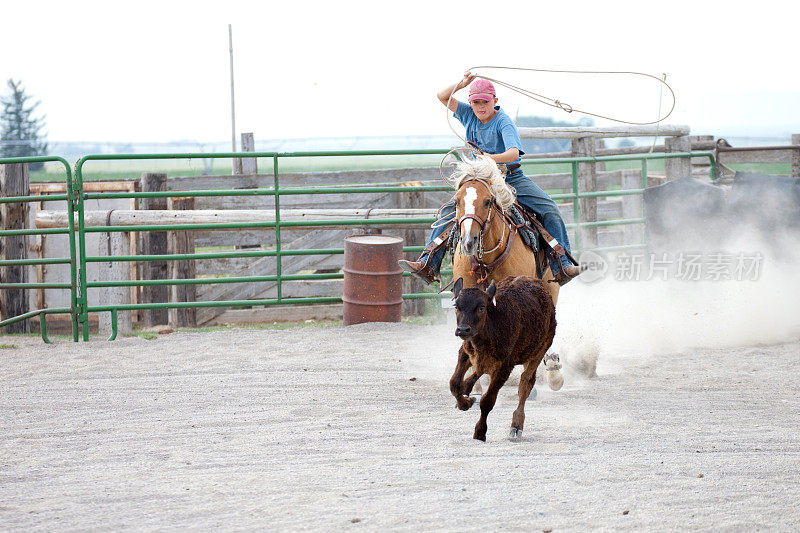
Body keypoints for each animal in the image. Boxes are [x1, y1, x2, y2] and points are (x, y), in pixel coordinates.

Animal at [450, 274, 556, 440]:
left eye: (481, 307)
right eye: (456, 306)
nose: (463, 330)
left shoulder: (504, 368)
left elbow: (487, 401)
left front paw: (480, 432)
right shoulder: (466, 353)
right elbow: (454, 384)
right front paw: (465, 403)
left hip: (538, 351)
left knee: (526, 383)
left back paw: (516, 425)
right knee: (476, 373)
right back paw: (467, 387)